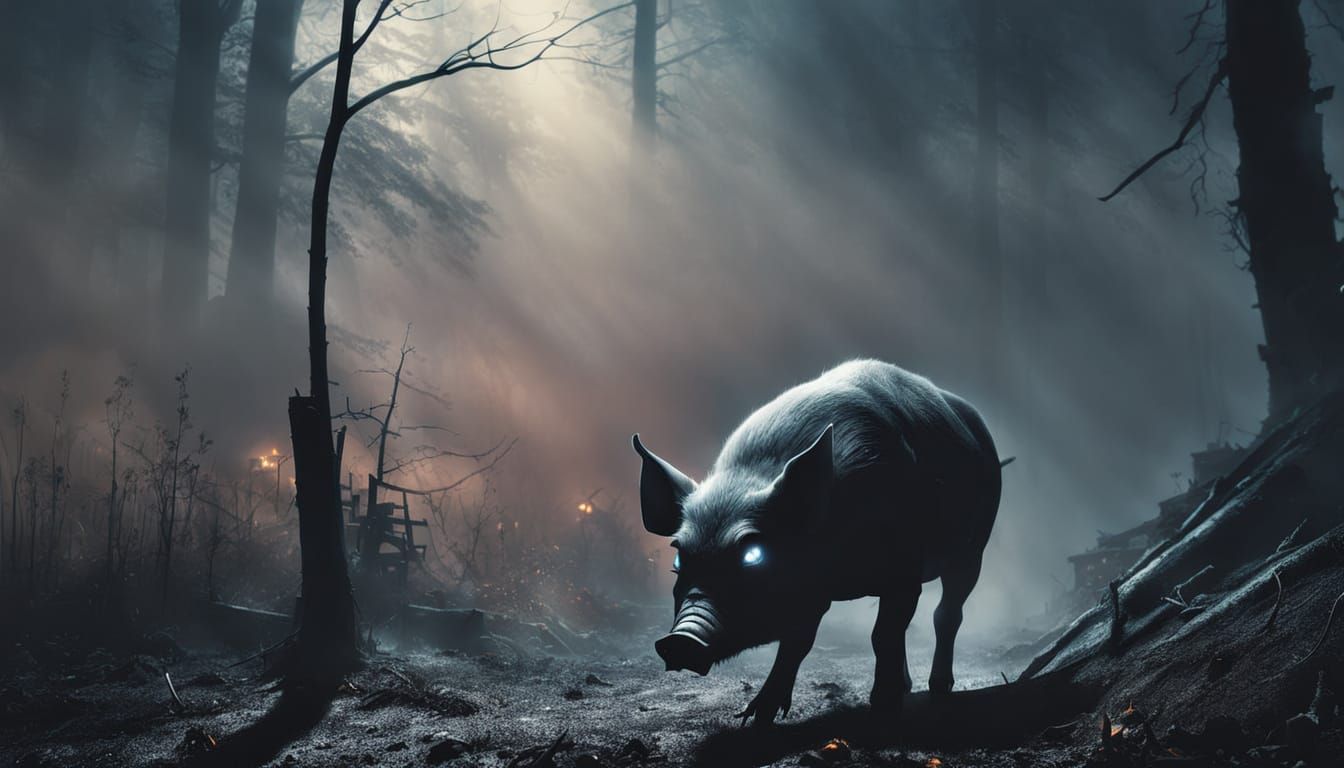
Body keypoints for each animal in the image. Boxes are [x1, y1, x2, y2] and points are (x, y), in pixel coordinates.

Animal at [632, 359, 1004, 724]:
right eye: (679, 559)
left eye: (753, 554)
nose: (681, 638)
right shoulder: (810, 590)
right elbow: (797, 643)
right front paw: (755, 717)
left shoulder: (905, 571)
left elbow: (882, 634)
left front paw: (883, 708)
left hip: (974, 548)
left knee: (947, 613)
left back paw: (938, 687)